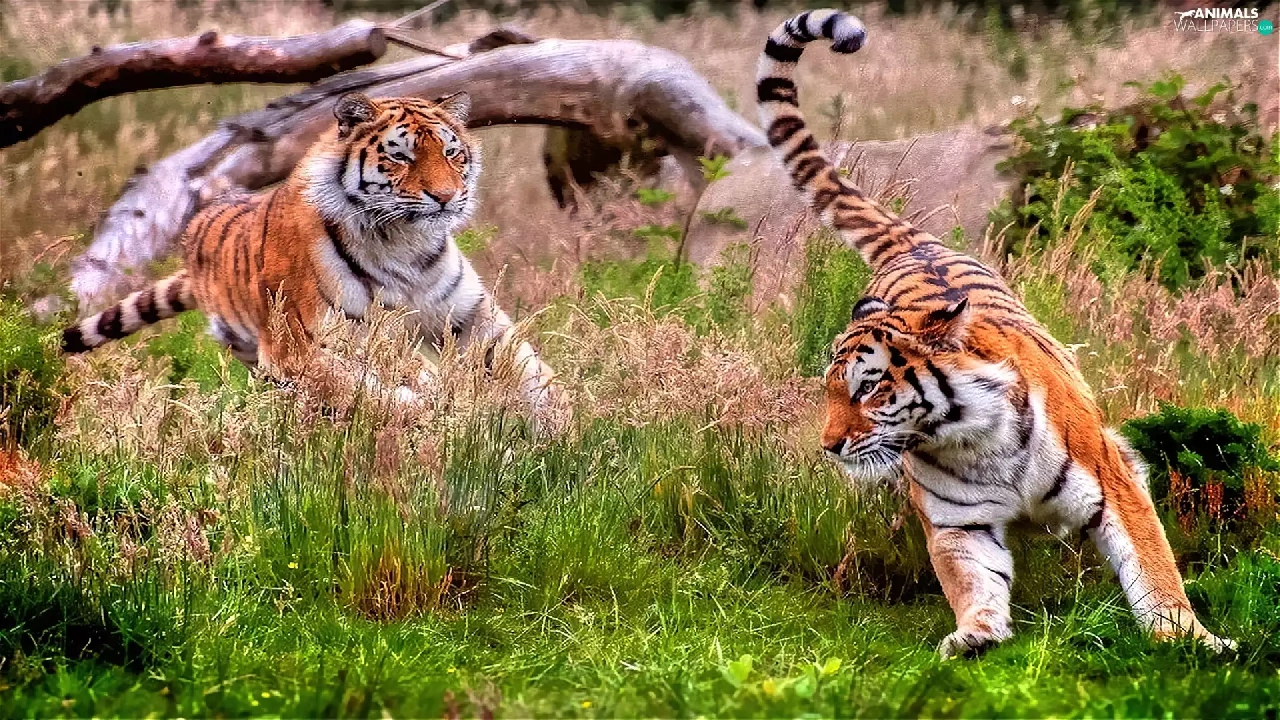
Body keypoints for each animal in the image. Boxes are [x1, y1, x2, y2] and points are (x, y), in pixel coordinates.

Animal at [62, 92, 564, 431]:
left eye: (452, 152)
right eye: (401, 156)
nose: (445, 197)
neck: (404, 242)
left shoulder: (472, 318)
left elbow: (532, 372)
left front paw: (565, 433)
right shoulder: (298, 348)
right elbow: (362, 388)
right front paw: (433, 409)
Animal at [757, 9, 1233, 658]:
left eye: (869, 389)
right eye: (831, 391)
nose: (829, 446)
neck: (972, 439)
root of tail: (913, 245)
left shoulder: (1113, 483)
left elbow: (1153, 566)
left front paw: (1187, 637)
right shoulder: (959, 520)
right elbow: (971, 576)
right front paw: (976, 634)